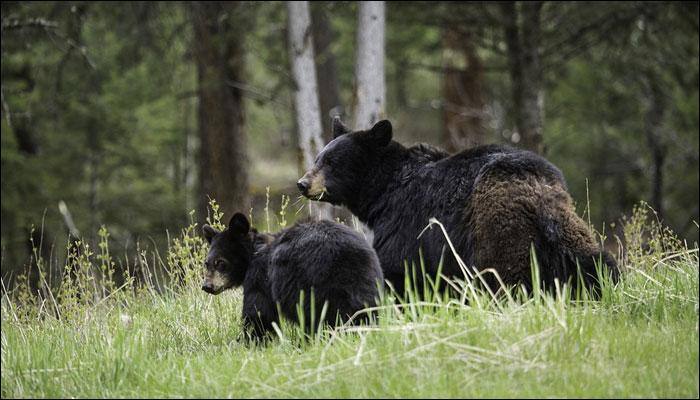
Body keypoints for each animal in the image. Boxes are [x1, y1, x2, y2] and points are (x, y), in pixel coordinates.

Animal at [200, 212, 386, 340]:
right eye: (206, 263)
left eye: (220, 262)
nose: (207, 286)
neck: (254, 252)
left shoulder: (260, 277)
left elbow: (259, 313)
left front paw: (249, 340)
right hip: (369, 281)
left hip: (310, 285)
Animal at [298, 117, 620, 296]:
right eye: (318, 158)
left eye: (332, 162)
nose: (303, 183)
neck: (383, 191)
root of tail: (537, 191)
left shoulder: (406, 222)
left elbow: (397, 267)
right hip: (568, 229)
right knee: (595, 263)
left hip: (499, 231)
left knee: (505, 277)